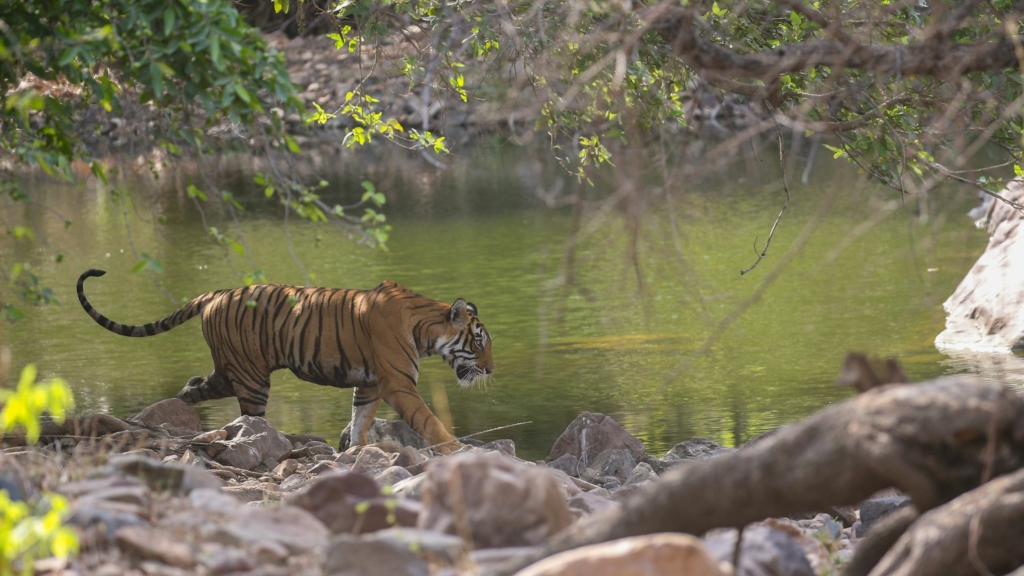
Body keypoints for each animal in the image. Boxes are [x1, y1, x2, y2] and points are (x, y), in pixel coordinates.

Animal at [75, 268, 491, 453]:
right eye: (479, 341)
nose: (491, 369)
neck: (426, 329)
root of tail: (215, 293)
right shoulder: (397, 383)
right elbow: (429, 421)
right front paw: (457, 450)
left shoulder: (371, 384)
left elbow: (360, 420)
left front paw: (355, 451)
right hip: (252, 378)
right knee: (248, 419)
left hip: (229, 369)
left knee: (192, 386)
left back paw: (179, 409)